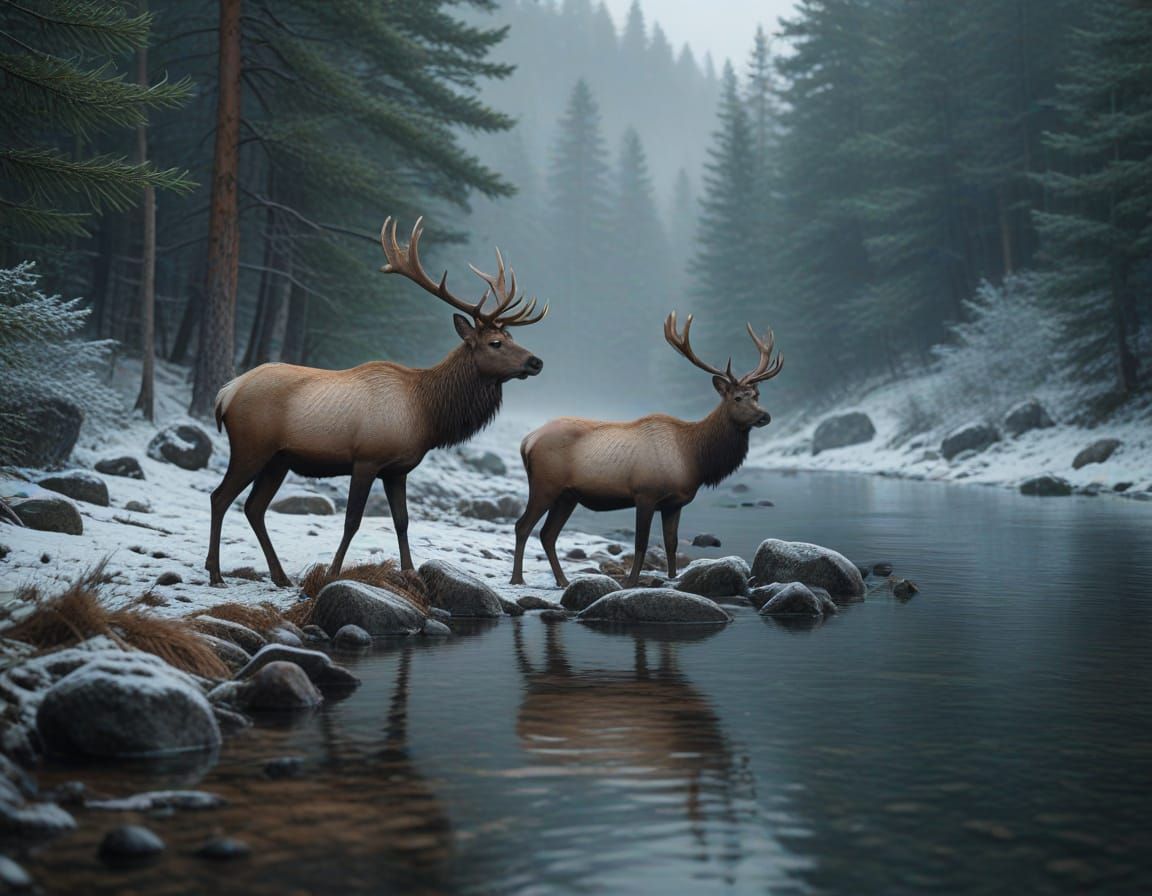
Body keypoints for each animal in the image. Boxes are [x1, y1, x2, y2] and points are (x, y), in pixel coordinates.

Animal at [205, 217, 547, 587]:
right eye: (496, 342)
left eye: (512, 337)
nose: (535, 362)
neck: (427, 414)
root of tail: (226, 392)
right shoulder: (367, 458)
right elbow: (352, 520)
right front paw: (333, 572)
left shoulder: (397, 470)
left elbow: (402, 521)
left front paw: (411, 572)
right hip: (251, 446)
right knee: (220, 497)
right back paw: (216, 573)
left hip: (278, 459)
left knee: (254, 507)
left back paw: (280, 576)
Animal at [510, 312, 782, 588]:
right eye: (737, 397)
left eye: (756, 395)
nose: (765, 416)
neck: (694, 459)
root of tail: (527, 441)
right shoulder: (645, 493)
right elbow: (641, 542)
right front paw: (631, 582)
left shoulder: (674, 503)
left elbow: (671, 544)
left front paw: (673, 579)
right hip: (545, 485)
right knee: (523, 526)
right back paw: (517, 579)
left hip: (568, 495)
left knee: (548, 534)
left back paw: (563, 580)